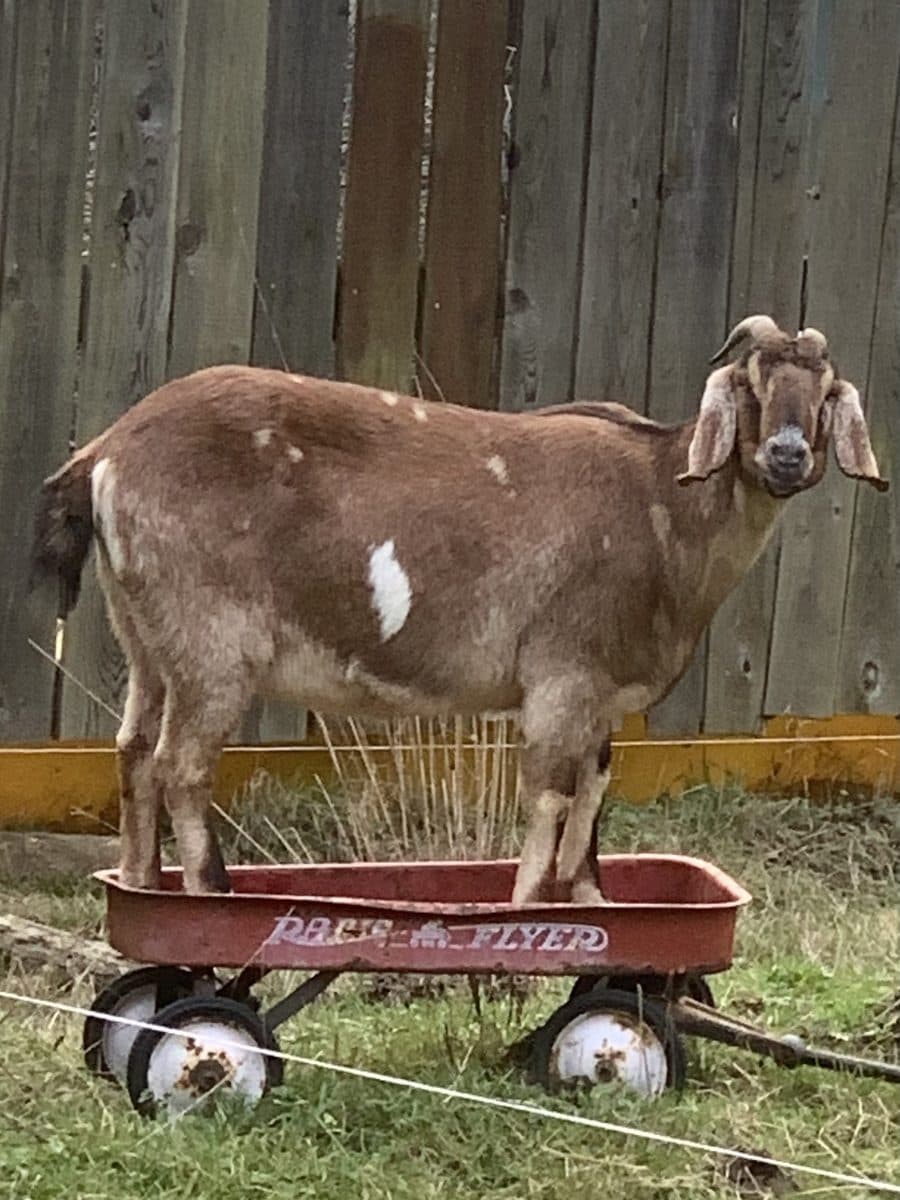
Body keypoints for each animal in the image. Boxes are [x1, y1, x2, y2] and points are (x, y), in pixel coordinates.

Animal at [32, 315, 886, 904]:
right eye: (749, 384)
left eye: (823, 394)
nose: (785, 456)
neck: (659, 504)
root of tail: (104, 454)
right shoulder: (563, 677)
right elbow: (549, 794)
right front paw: (523, 912)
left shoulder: (602, 698)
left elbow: (594, 792)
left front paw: (588, 899)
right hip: (212, 641)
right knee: (181, 763)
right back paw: (211, 895)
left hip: (147, 635)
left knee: (132, 750)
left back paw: (140, 888)